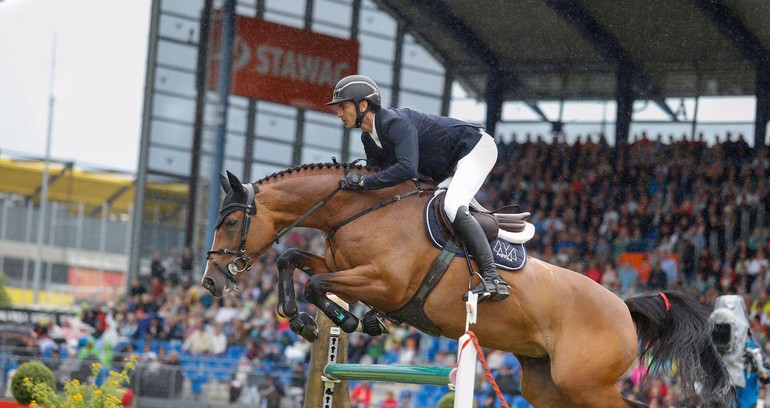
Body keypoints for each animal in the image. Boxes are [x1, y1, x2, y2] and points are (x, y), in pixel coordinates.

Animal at [201, 163, 728, 408]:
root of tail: (623, 306)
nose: (210, 283)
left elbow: (318, 285)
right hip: (548, 384)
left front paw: (345, 320)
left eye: (231, 222)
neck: (361, 209)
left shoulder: (383, 282)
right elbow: (291, 260)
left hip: (586, 383)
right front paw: (307, 322)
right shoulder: (342, 267)